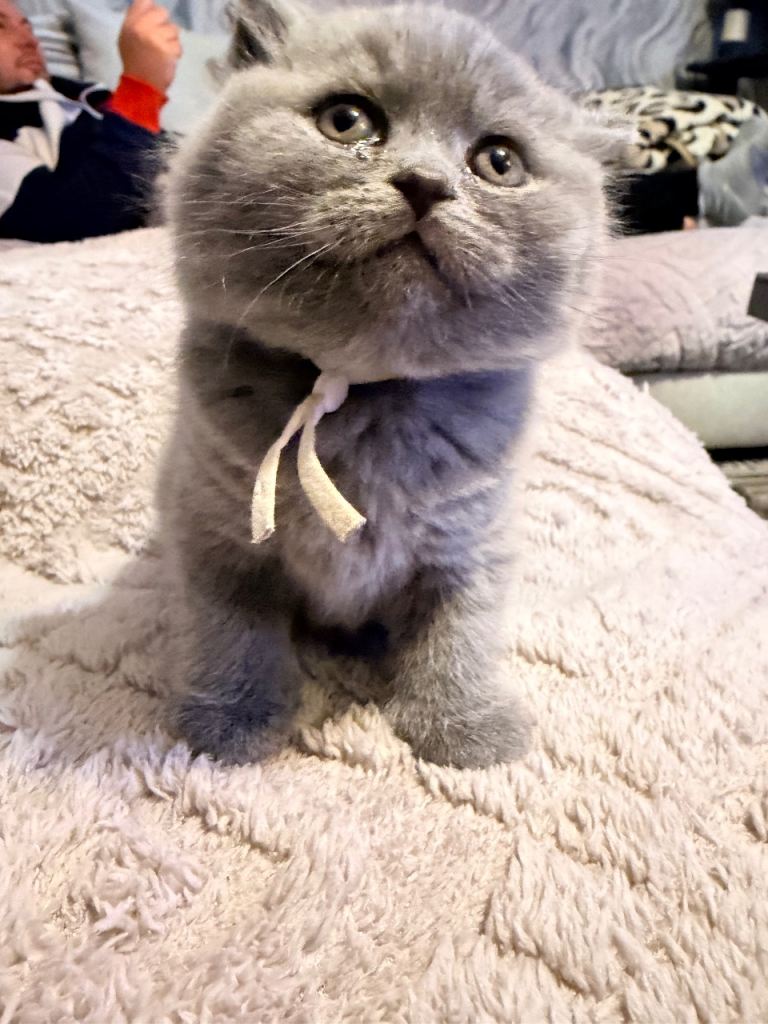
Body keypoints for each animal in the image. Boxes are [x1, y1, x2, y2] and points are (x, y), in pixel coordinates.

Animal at [158, 0, 623, 768]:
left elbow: (460, 631)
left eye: (499, 161)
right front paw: (231, 721)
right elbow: (234, 631)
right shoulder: (217, 531)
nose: (426, 183)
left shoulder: (471, 541)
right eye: (347, 120)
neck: (359, 388)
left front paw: (467, 727)